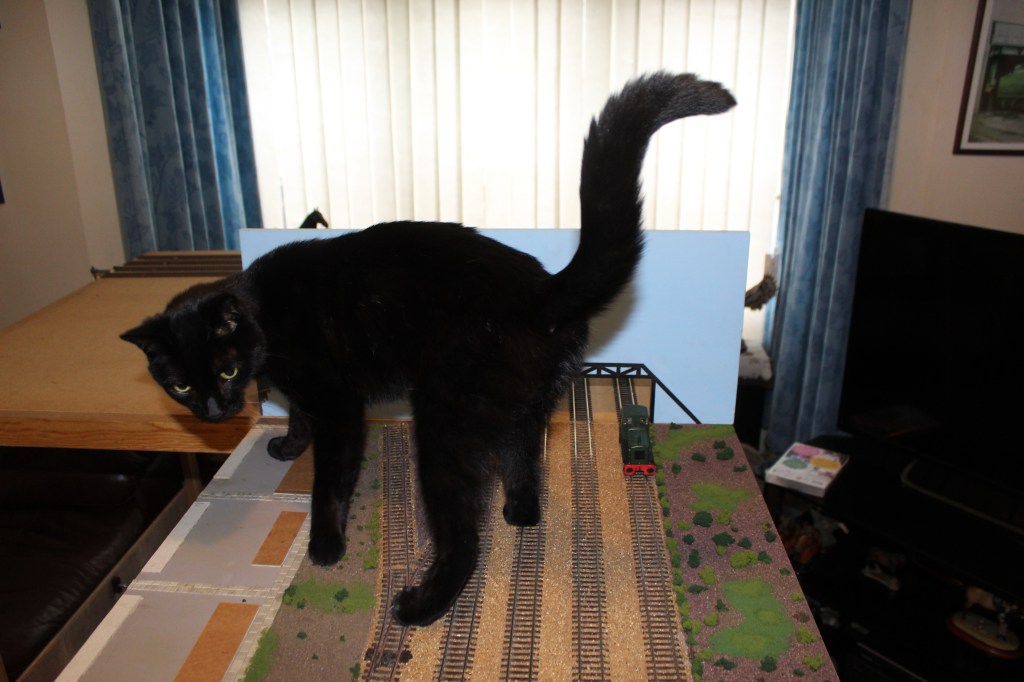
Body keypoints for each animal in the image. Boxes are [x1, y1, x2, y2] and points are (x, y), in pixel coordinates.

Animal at [121, 72, 736, 627]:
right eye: (181, 384)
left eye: (225, 370)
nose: (214, 410)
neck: (263, 312)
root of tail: (541, 291)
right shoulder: (306, 393)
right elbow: (296, 415)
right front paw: (288, 444)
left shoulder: (339, 404)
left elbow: (329, 481)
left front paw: (325, 544)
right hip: (519, 407)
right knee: (524, 463)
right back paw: (518, 513)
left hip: (444, 423)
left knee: (465, 538)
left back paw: (421, 606)